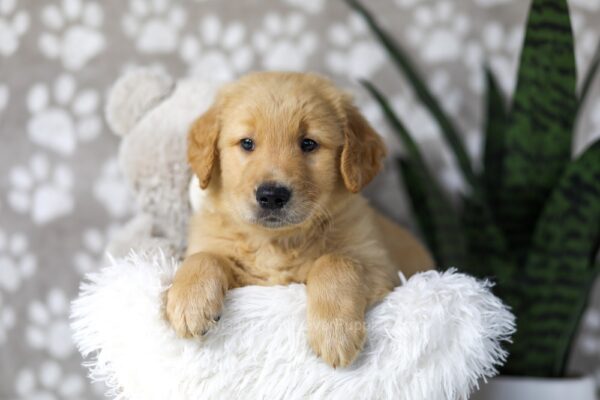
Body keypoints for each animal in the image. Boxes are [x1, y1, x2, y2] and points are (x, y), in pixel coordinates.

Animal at [166, 70, 434, 368]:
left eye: (308, 144)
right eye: (247, 143)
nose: (272, 195)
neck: (276, 242)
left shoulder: (379, 265)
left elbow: (334, 261)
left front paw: (335, 332)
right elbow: (205, 257)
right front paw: (190, 303)